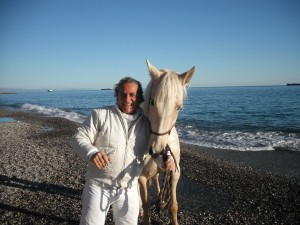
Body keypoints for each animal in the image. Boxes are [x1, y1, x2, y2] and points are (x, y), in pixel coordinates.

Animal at [139, 59, 196, 224]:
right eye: (152, 101)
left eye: (178, 107)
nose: (157, 150)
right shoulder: (141, 177)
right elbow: (146, 206)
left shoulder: (175, 172)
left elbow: (173, 206)